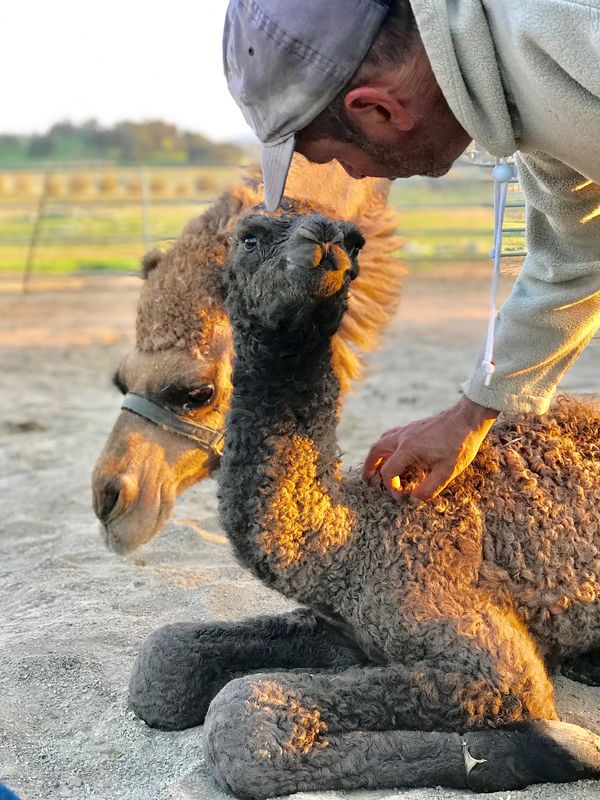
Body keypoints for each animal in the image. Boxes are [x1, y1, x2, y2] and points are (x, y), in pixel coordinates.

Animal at [129, 210, 600, 797]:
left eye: (354, 241)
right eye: (250, 238)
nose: (325, 237)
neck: (348, 539)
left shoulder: (486, 656)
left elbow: (242, 712)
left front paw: (549, 748)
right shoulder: (340, 630)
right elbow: (162, 659)